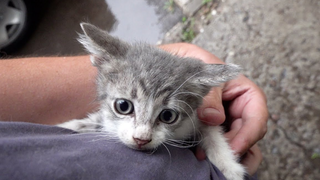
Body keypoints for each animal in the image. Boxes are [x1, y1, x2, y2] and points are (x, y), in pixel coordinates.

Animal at [58, 23, 245, 180]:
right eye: (123, 106)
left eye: (168, 116)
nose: (141, 139)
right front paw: (71, 126)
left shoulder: (197, 117)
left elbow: (211, 131)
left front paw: (228, 167)